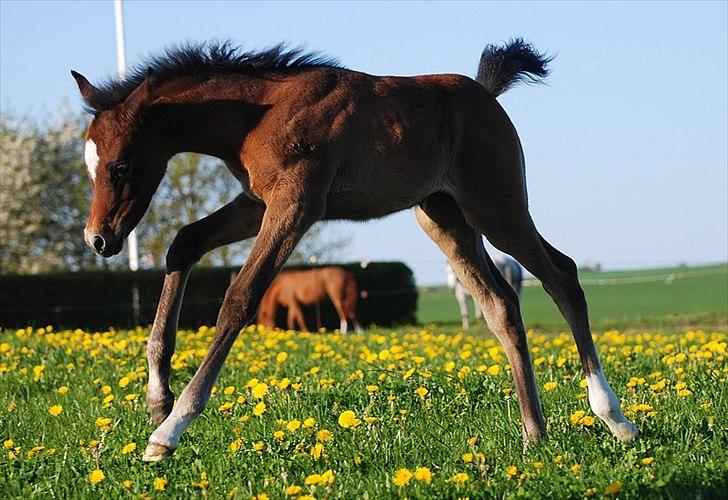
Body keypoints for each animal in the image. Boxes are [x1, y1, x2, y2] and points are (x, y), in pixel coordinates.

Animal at [72, 38, 636, 460]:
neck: (259, 114)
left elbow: (240, 298)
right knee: (501, 305)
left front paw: (169, 429)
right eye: (88, 165)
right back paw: (534, 436)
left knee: (563, 275)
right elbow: (184, 243)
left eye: (120, 165)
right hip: (445, 218)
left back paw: (613, 416)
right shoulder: (258, 201)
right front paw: (156, 397)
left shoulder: (296, 203)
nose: (99, 239)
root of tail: (484, 90)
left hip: (497, 208)